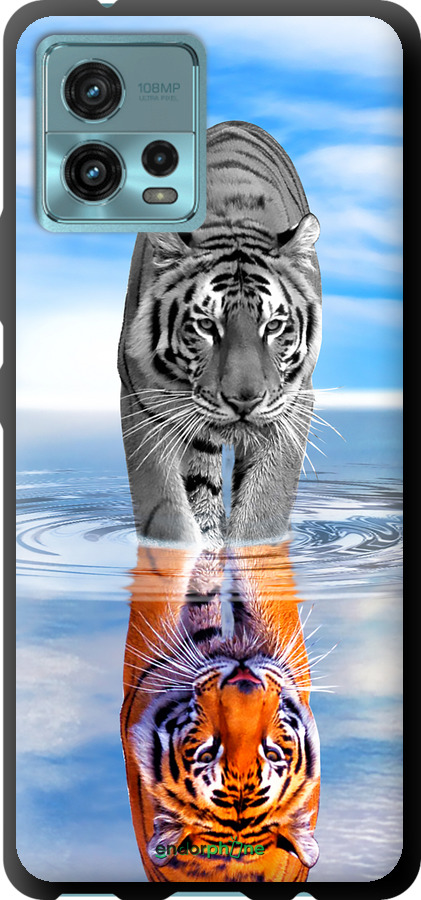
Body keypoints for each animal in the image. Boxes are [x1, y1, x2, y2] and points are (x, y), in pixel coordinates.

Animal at [118, 120, 322, 548]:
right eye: (206, 325)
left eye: (273, 326)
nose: (245, 401)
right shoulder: (142, 401)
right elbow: (166, 511)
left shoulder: (293, 404)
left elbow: (263, 509)